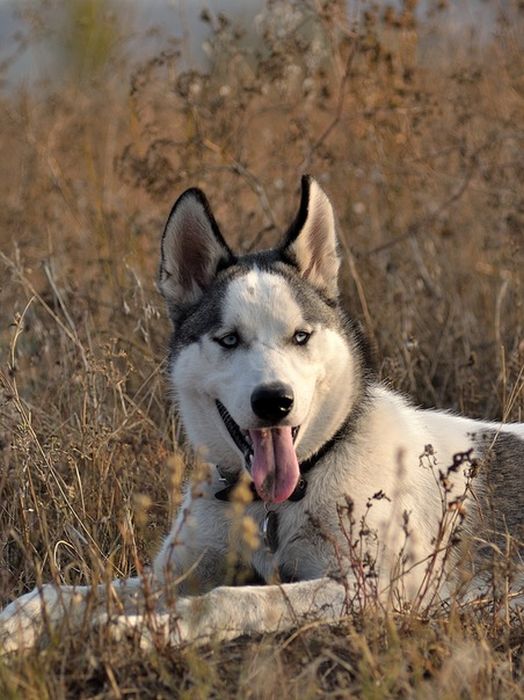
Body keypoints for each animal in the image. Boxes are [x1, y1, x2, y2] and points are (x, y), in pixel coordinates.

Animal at [2, 175, 520, 652]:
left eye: (301, 336)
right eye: (229, 339)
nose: (274, 401)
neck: (280, 498)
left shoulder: (369, 590)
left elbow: (230, 600)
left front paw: (139, 631)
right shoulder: (175, 571)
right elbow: (61, 593)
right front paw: (20, 622)